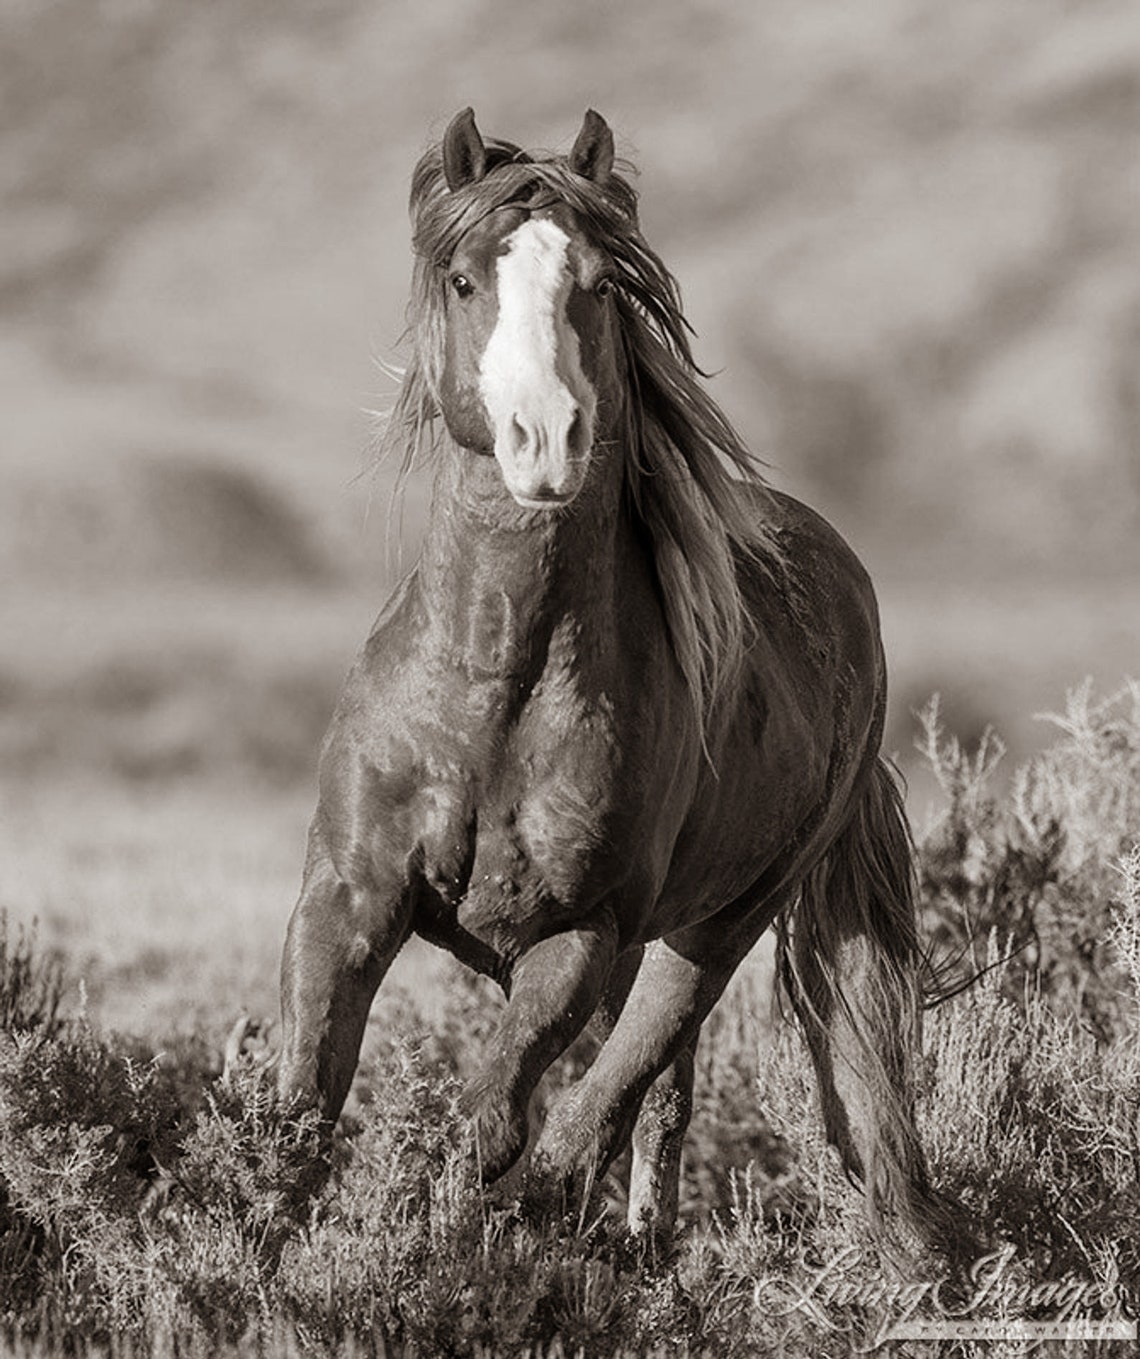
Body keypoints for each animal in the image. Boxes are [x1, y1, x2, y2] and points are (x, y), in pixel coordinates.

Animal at [278, 107, 953, 1248]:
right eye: (463, 278)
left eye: (598, 282)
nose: (545, 439)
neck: (494, 687)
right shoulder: (348, 898)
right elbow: (298, 1112)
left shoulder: (579, 933)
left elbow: (494, 1120)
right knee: (650, 1088)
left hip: (711, 926)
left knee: (628, 1088)